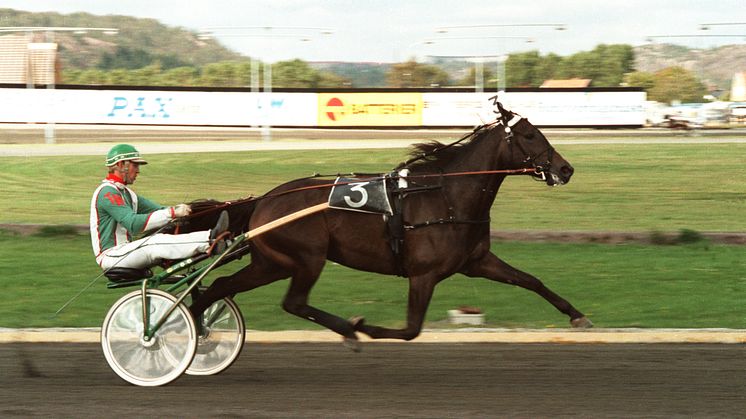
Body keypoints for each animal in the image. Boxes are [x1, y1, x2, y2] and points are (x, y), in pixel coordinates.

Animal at [179, 103, 588, 350]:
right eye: (530, 134)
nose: (565, 169)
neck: (447, 195)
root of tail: (264, 200)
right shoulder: (423, 274)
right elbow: (411, 329)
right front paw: (365, 326)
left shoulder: (477, 262)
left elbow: (530, 280)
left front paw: (577, 315)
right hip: (306, 258)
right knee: (292, 301)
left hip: (273, 263)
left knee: (220, 284)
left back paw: (193, 325)